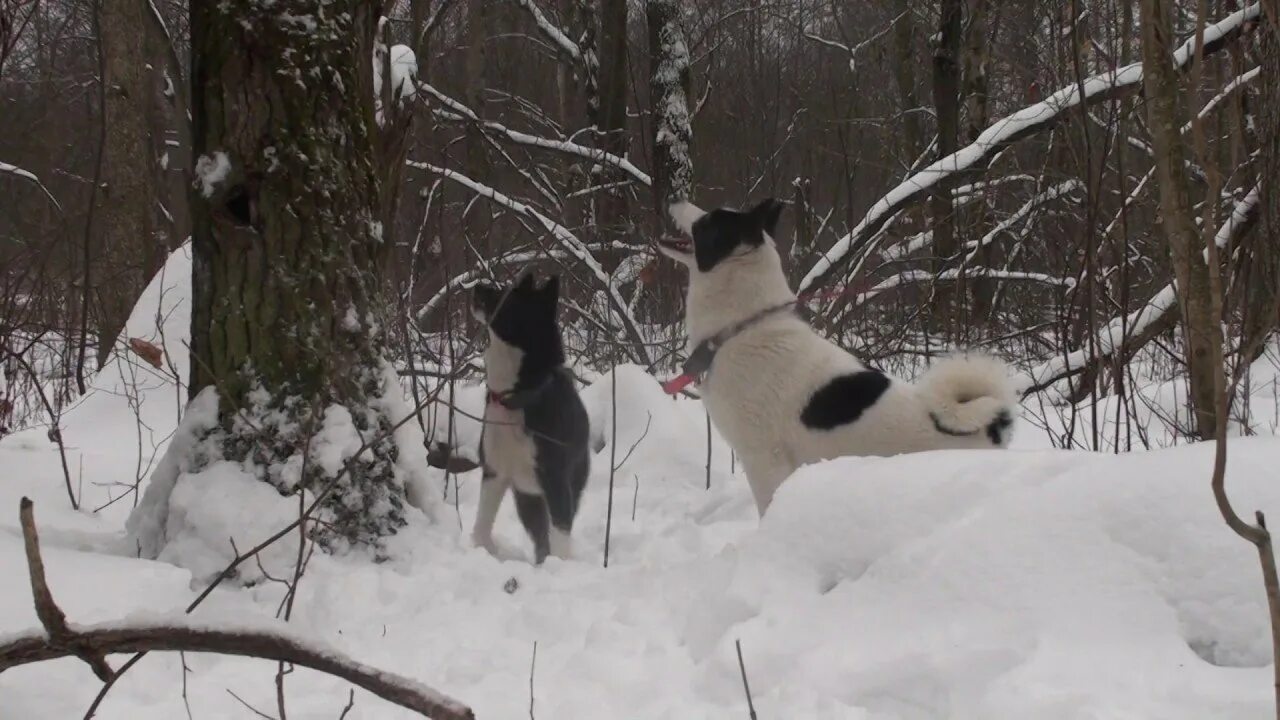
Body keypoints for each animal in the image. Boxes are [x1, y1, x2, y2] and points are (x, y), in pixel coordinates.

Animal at [471, 271, 588, 563]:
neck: (515, 397)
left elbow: (560, 536)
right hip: (526, 497)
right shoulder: (494, 471)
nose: (476, 285)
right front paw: (483, 551)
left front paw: (559, 567)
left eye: (506, 293)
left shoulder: (557, 480)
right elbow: (481, 525)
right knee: (539, 537)